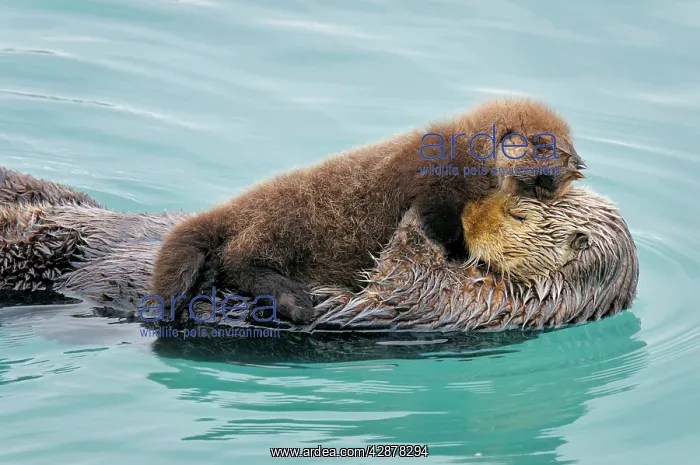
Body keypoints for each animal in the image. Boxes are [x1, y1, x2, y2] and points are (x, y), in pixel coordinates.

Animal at [0, 168, 637, 332]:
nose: (462, 213)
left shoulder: (471, 303)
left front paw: (420, 219)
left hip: (36, 250)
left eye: (520, 213)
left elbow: (404, 278)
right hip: (59, 202)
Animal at [150, 98, 586, 324]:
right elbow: (441, 220)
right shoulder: (439, 184)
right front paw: (459, 249)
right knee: (237, 261)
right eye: (543, 146)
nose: (565, 170)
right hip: (284, 223)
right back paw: (294, 300)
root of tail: (238, 208)